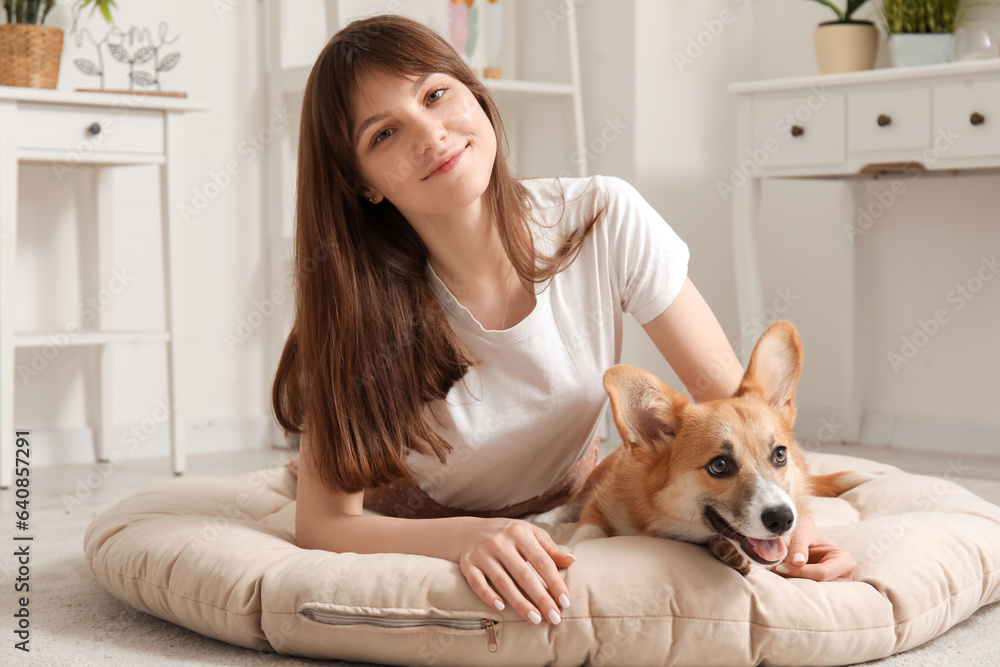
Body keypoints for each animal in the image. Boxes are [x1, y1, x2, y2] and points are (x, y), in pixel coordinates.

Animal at [564, 320, 868, 576]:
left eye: (780, 455)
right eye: (719, 465)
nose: (783, 519)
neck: (656, 519)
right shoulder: (599, 504)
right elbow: (586, 535)